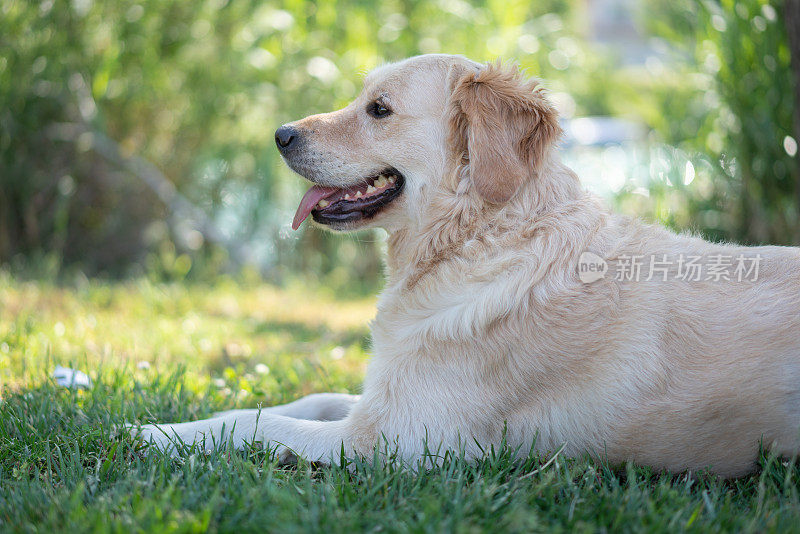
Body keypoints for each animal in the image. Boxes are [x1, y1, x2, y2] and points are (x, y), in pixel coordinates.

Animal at [133, 54, 800, 480]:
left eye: (379, 109)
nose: (280, 134)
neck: (476, 237)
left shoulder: (398, 442)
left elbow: (261, 428)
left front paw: (148, 435)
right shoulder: (384, 398)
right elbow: (287, 403)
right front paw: (172, 419)